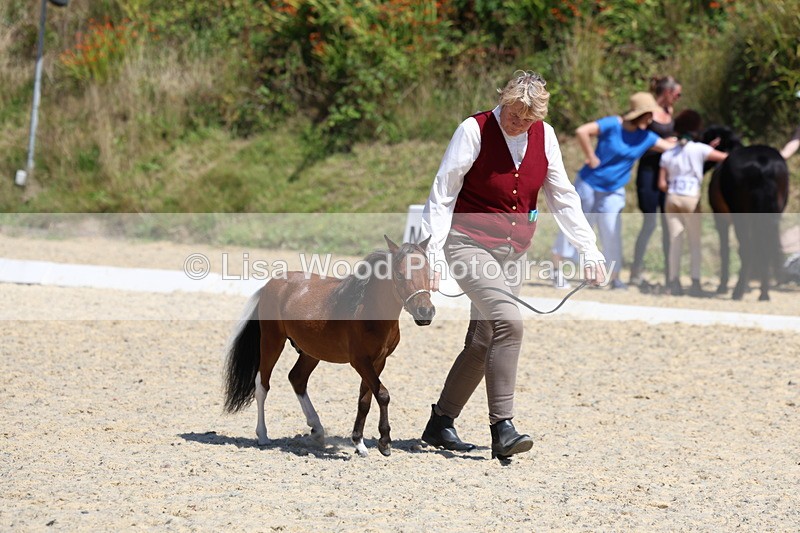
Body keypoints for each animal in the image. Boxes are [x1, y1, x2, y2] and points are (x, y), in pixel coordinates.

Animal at [223, 235, 435, 457]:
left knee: (297, 378)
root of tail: (271, 284)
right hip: (272, 341)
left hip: (311, 351)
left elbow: (365, 400)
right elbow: (383, 395)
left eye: (429, 273)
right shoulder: (360, 361)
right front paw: (384, 443)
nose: (426, 312)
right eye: (400, 275)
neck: (368, 309)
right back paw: (263, 436)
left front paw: (359, 443)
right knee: (262, 385)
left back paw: (316, 430)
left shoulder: (378, 361)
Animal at [702, 126, 790, 300]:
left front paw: (723, 286)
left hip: (741, 218)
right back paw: (763, 293)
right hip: (771, 216)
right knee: (765, 247)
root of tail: (763, 163)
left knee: (746, 249)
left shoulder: (720, 218)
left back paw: (738, 292)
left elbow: (725, 251)